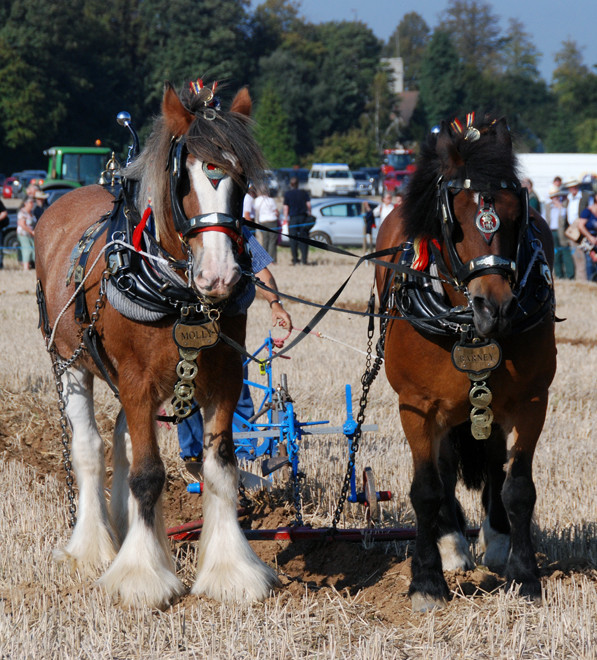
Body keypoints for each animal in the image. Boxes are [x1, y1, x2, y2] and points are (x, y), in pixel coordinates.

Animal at [36, 81, 278, 608]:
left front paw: (231, 571)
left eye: (242, 181)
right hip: (70, 363)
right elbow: (147, 473)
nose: (220, 276)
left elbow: (220, 468)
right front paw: (141, 577)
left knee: (124, 439)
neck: (179, 294)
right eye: (183, 179)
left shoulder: (224, 378)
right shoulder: (136, 380)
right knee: (90, 448)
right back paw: (92, 548)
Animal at [374, 116, 556, 612]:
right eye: (454, 221)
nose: (496, 306)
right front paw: (427, 580)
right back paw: (452, 543)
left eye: (516, 213)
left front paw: (524, 575)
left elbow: (519, 487)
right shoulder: (417, 406)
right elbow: (426, 488)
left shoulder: (531, 401)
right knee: (446, 466)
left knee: (491, 461)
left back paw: (495, 539)